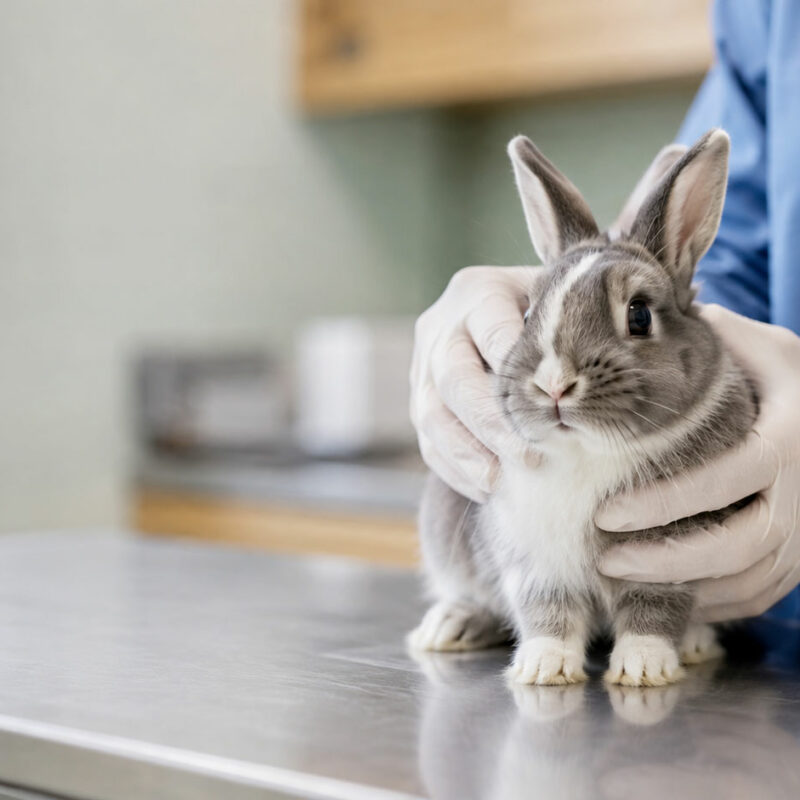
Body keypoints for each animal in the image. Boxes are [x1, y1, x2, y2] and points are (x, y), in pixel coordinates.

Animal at [408, 129, 758, 687]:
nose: (553, 384)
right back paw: (449, 627)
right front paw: (543, 668)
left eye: (639, 315)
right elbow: (548, 611)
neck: (587, 452)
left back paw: (697, 644)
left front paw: (644, 667)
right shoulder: (533, 556)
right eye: (527, 312)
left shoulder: (670, 560)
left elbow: (652, 610)